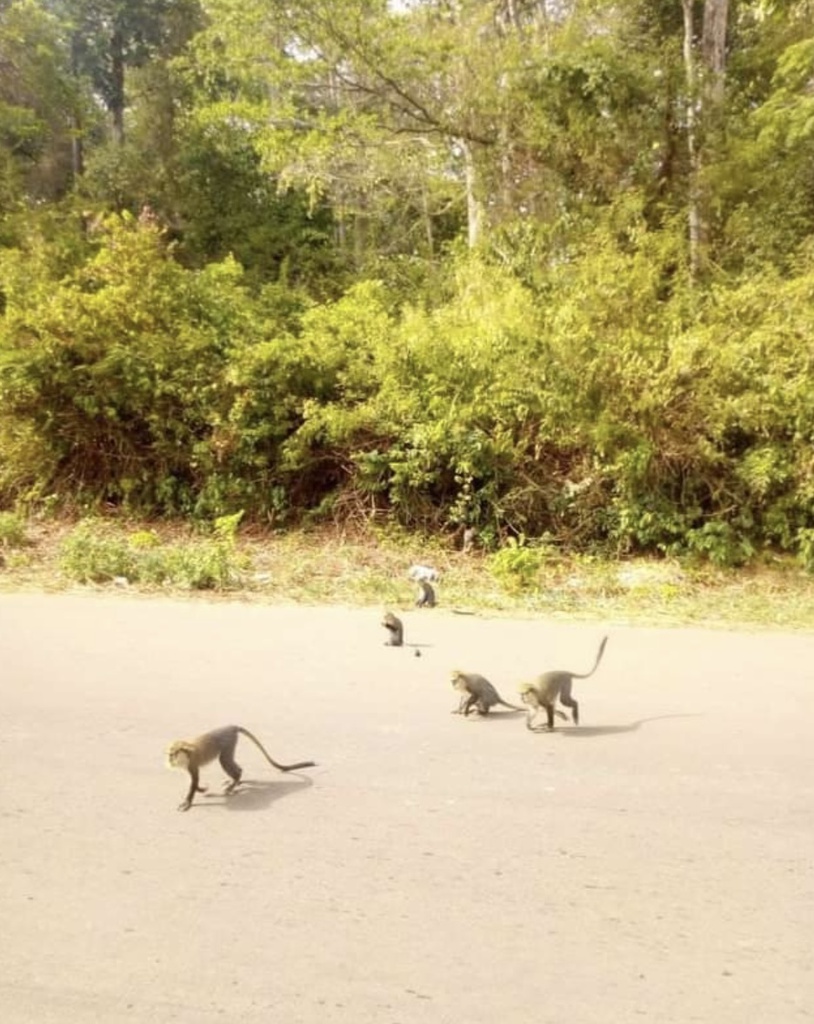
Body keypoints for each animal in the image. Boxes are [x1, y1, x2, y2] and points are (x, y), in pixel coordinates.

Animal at [166, 724, 317, 811]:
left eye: (175, 753)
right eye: (170, 754)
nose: (170, 760)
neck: (187, 753)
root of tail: (230, 726)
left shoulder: (192, 762)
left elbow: (194, 781)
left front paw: (188, 801)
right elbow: (194, 782)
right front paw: (201, 789)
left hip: (228, 741)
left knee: (225, 760)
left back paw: (235, 781)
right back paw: (236, 781)